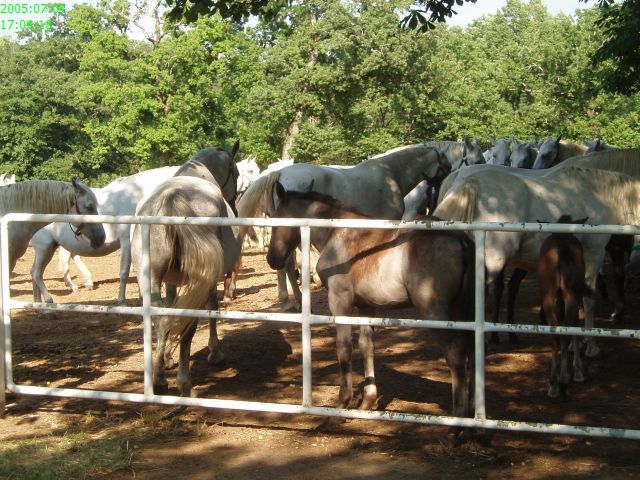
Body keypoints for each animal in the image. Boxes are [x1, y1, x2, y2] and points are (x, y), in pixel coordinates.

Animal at [29, 166, 179, 306]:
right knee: (40, 271)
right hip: (45, 247)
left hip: (50, 248)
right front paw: (122, 301)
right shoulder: (126, 242)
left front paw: (141, 298)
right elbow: (124, 272)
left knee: (38, 271)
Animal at [266, 185, 475, 418]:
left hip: (435, 313)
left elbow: (344, 346)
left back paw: (458, 418)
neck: (337, 234)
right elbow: (366, 346)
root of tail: (458, 237)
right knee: (472, 349)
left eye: (276, 219)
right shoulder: (367, 306)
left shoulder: (340, 302)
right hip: (461, 310)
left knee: (456, 354)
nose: (272, 259)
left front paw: (344, 400)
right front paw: (367, 400)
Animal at [538, 215, 593, 398]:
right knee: (566, 331)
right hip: (570, 297)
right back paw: (561, 382)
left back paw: (555, 384)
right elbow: (575, 327)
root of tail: (562, 247)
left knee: (556, 333)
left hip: (549, 297)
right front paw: (577, 371)